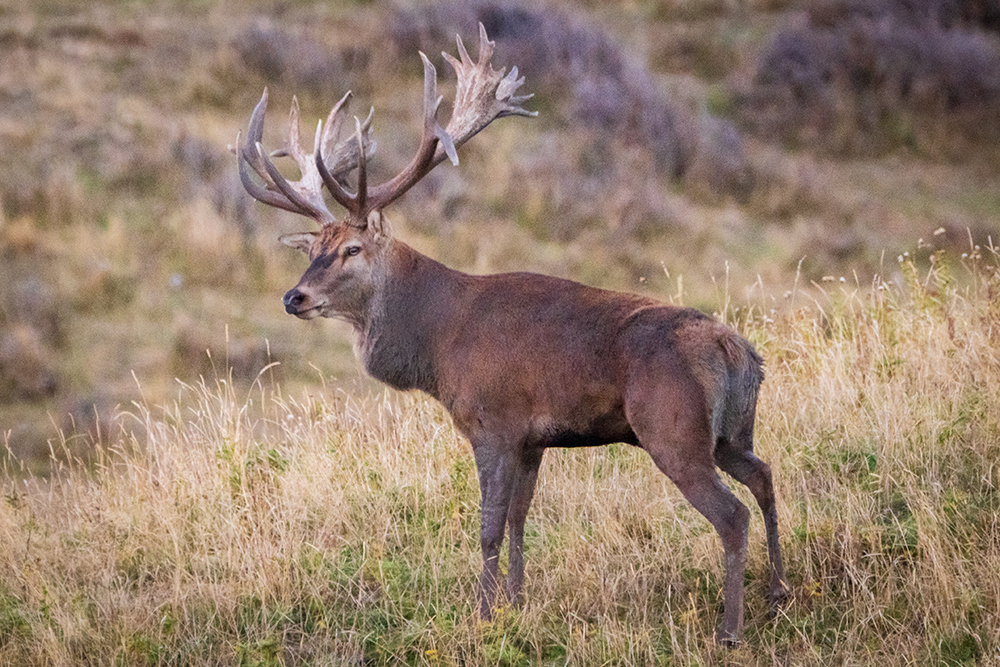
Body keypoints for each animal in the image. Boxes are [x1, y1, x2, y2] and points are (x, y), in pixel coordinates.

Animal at [234, 24, 786, 645]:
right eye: (311, 251)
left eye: (352, 249)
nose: (294, 297)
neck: (438, 343)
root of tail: (737, 352)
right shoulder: (532, 437)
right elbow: (522, 520)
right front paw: (517, 606)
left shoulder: (492, 421)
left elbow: (490, 527)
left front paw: (481, 615)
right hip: (732, 431)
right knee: (764, 475)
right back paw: (778, 593)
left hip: (673, 428)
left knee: (732, 514)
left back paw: (731, 629)